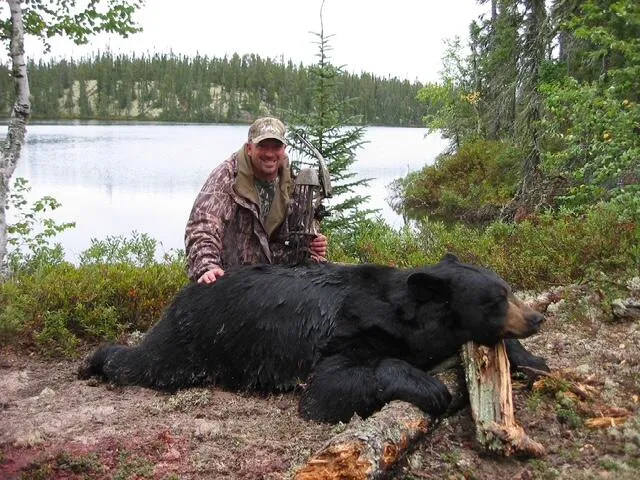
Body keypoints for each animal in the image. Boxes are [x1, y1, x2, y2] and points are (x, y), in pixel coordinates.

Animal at [78, 254, 547, 423]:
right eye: (496, 299)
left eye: (508, 288)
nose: (537, 317)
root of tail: (182, 294)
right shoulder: (347, 334)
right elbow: (328, 389)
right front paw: (430, 388)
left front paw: (533, 360)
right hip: (194, 340)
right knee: (145, 363)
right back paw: (92, 361)